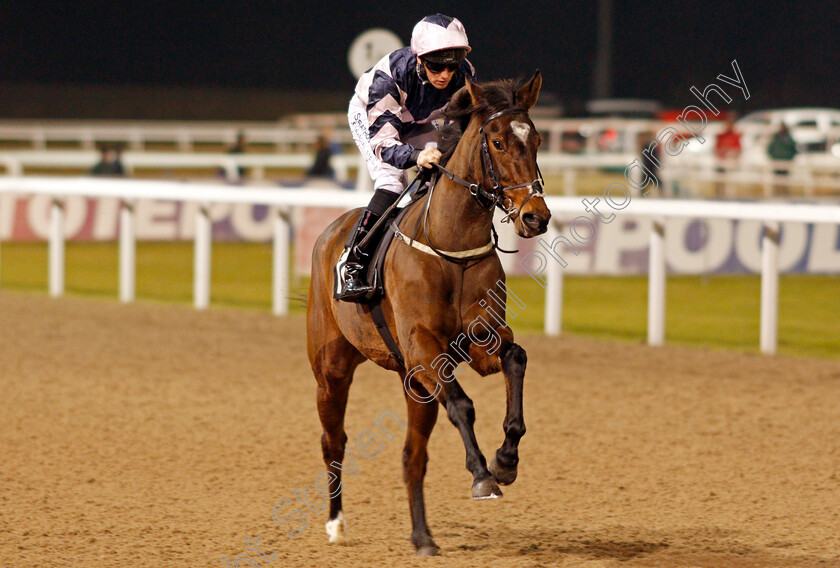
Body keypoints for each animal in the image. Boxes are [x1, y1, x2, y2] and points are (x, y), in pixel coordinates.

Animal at [308, 71, 552, 556]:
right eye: (497, 142)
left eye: (535, 139)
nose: (536, 217)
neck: (450, 247)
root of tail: (331, 231)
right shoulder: (424, 349)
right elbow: (462, 404)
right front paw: (483, 476)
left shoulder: (478, 341)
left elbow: (516, 358)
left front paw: (506, 460)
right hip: (332, 369)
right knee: (334, 441)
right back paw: (336, 523)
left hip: (412, 384)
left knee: (412, 456)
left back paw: (423, 538)